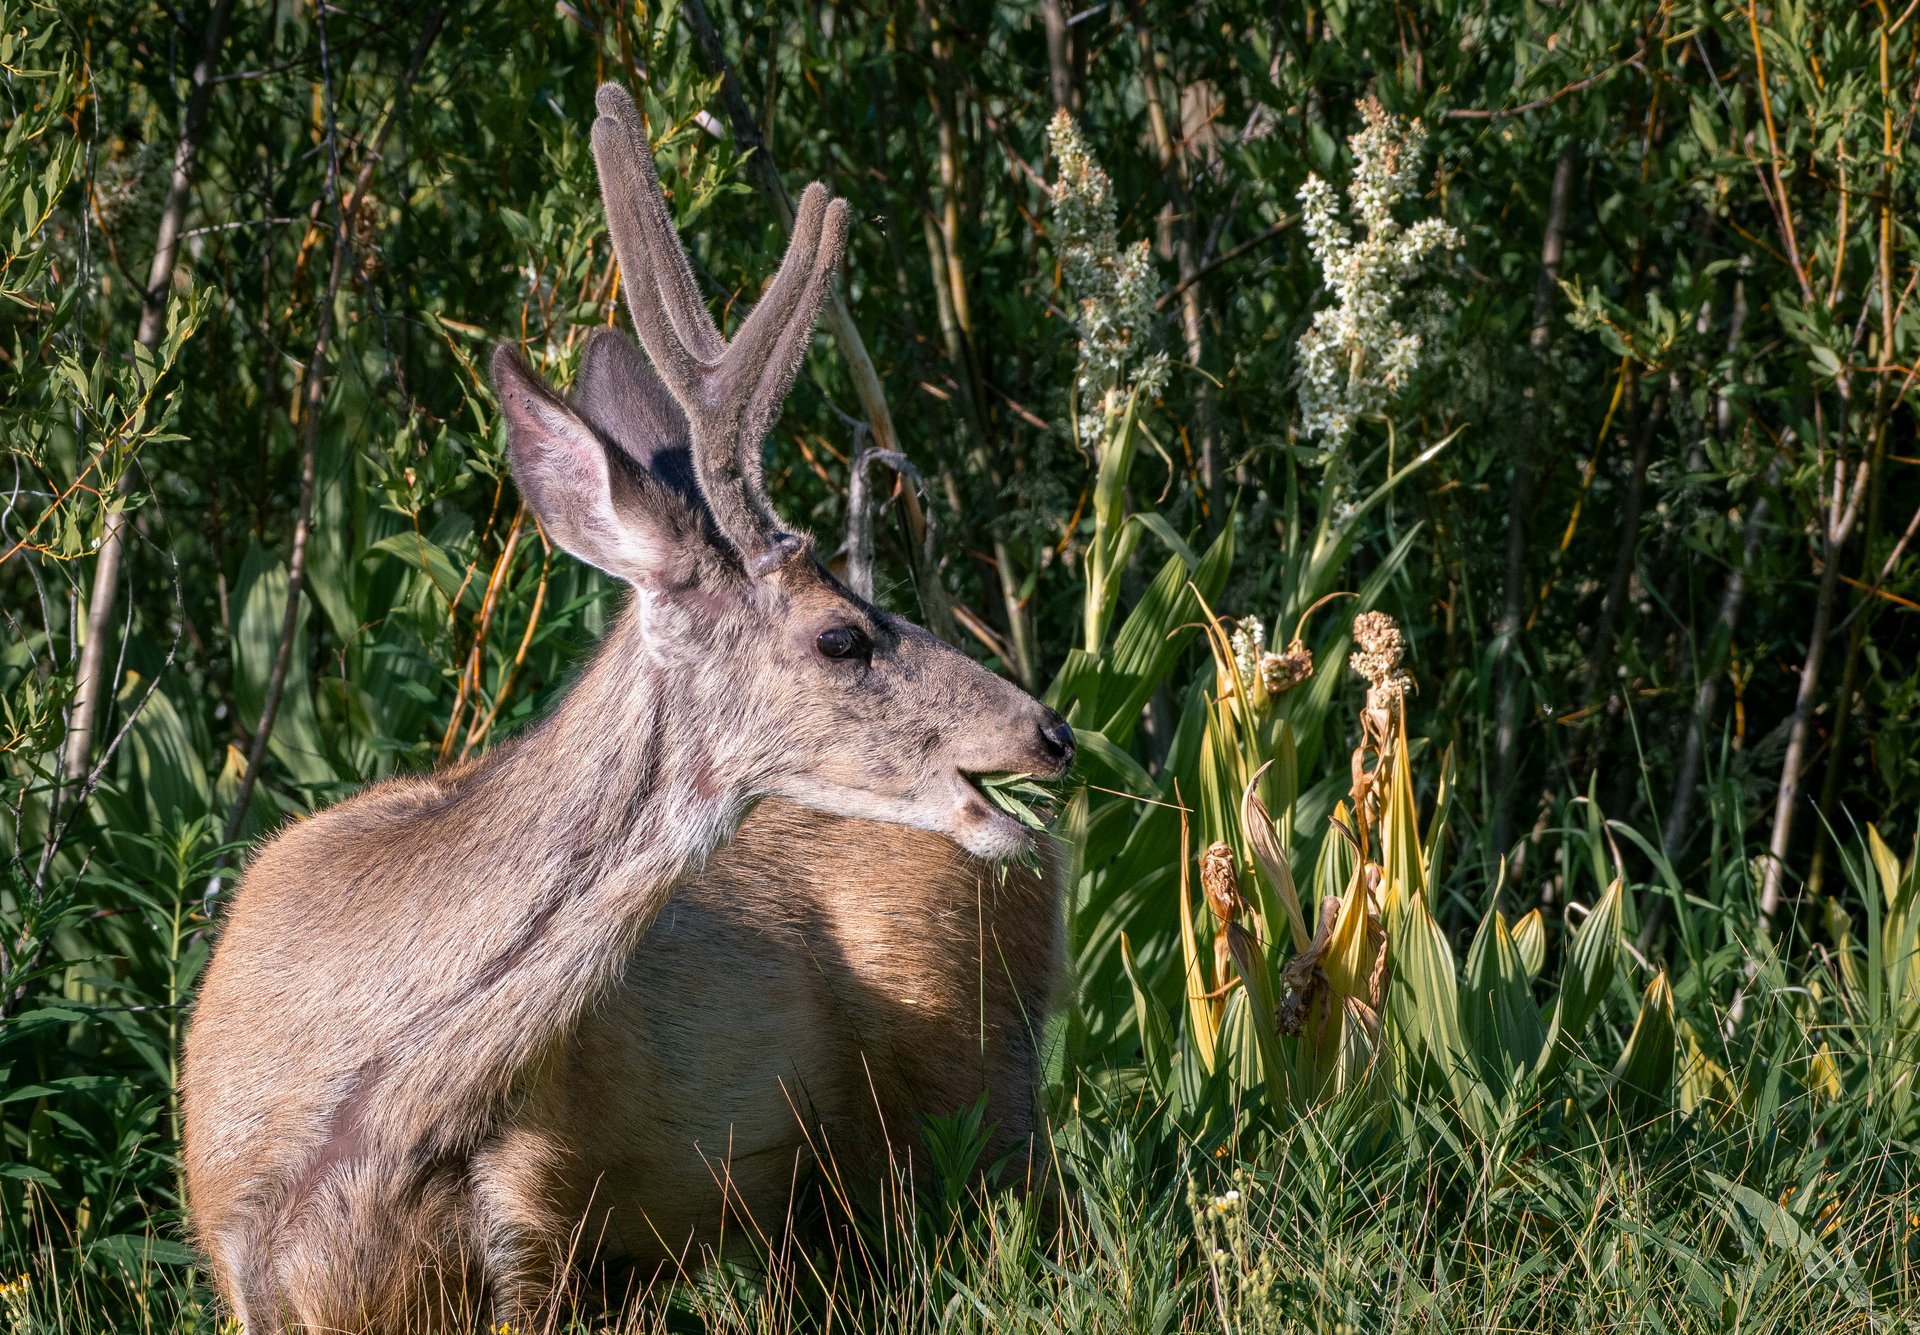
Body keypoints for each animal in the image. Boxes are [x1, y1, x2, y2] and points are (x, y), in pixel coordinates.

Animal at [181, 83, 1073, 1333]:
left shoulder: (545, 1217)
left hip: (979, 1093)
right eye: (841, 636)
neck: (357, 1110)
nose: (1050, 731)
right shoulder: (244, 1263)